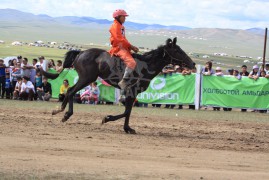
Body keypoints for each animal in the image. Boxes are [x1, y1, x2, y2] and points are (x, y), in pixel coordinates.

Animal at [40, 37, 193, 134]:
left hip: (85, 79)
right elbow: (126, 111)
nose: (192, 64)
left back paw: (60, 111)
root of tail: (81, 52)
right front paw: (107, 119)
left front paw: (127, 128)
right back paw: (64, 113)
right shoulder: (131, 91)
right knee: (71, 91)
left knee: (70, 91)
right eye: (177, 50)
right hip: (86, 78)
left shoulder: (133, 93)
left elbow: (128, 111)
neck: (146, 66)